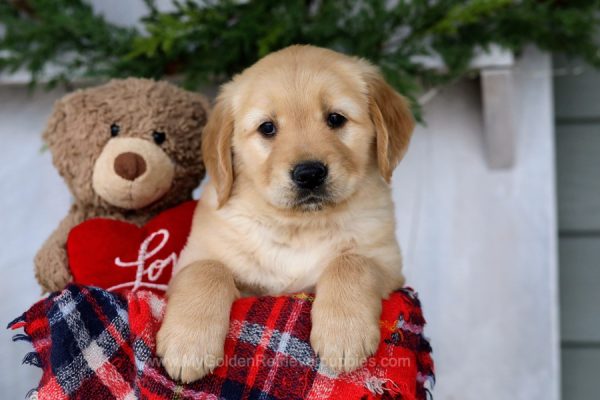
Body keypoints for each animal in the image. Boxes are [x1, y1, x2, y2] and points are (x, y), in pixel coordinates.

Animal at [157, 45, 414, 382]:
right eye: (267, 128)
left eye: (336, 119)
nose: (309, 174)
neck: (297, 227)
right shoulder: (194, 259)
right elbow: (207, 270)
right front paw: (188, 346)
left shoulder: (389, 264)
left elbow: (351, 262)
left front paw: (344, 334)